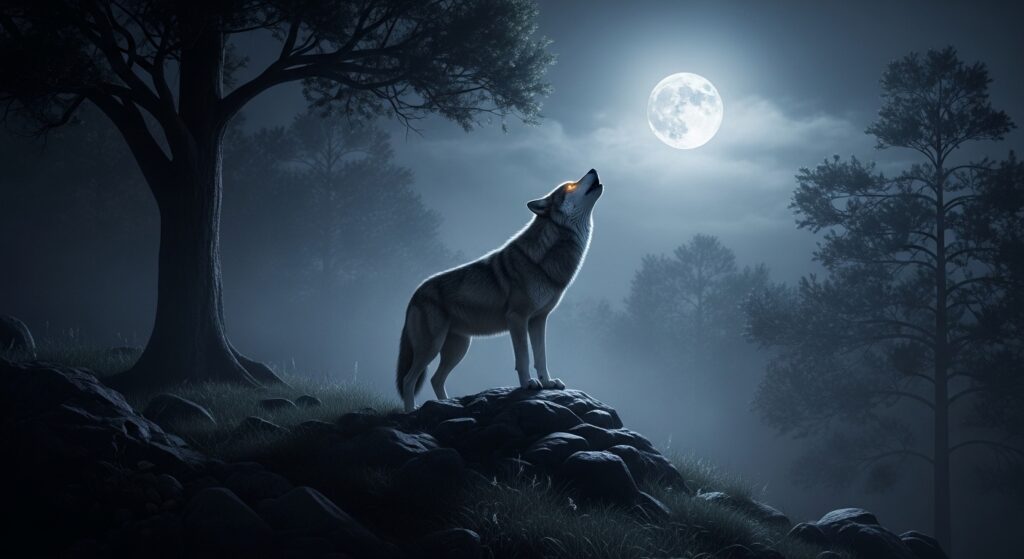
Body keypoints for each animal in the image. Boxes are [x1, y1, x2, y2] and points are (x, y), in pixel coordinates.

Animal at [396, 169, 604, 412]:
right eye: (571, 186)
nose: (593, 170)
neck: (543, 259)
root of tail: (414, 294)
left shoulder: (538, 320)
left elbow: (541, 356)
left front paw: (547, 383)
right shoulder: (517, 318)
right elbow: (523, 357)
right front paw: (528, 384)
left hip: (458, 348)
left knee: (435, 379)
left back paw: (447, 404)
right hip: (432, 347)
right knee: (409, 379)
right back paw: (412, 411)